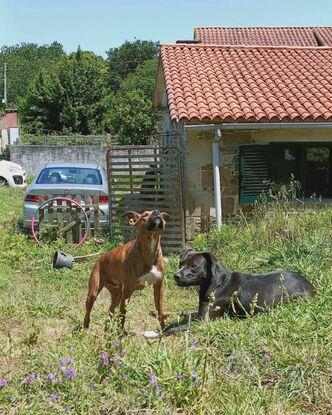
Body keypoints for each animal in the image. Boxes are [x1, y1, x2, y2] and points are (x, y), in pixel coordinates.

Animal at [175, 249, 316, 320]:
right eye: (180, 264)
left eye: (194, 266)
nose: (175, 276)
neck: (217, 283)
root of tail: (309, 284)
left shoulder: (203, 320)